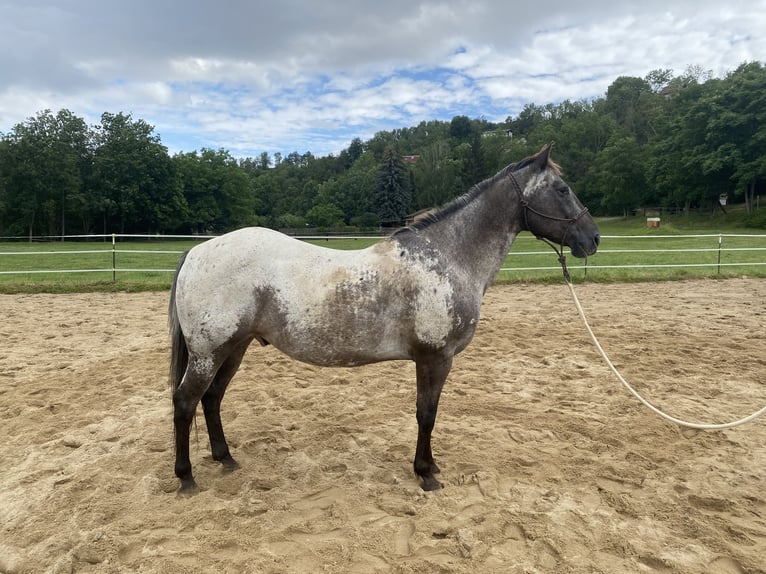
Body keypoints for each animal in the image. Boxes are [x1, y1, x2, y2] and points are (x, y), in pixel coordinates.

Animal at [168, 143, 600, 496]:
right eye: (562, 189)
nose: (593, 238)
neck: (447, 258)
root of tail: (197, 251)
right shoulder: (435, 358)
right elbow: (426, 413)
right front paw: (425, 473)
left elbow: (428, 414)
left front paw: (431, 467)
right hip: (210, 352)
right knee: (186, 401)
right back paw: (186, 477)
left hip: (235, 348)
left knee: (212, 398)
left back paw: (226, 458)